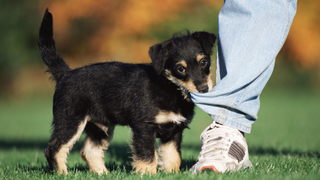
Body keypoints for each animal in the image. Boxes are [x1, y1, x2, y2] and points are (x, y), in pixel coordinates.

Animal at [38, 9, 216, 175]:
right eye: (180, 69)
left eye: (203, 62)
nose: (203, 89)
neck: (170, 87)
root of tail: (65, 74)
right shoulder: (144, 127)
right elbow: (148, 155)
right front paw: (147, 174)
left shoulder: (174, 130)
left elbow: (173, 156)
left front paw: (171, 173)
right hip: (70, 121)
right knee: (54, 149)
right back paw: (63, 173)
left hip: (100, 127)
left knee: (89, 151)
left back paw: (102, 174)